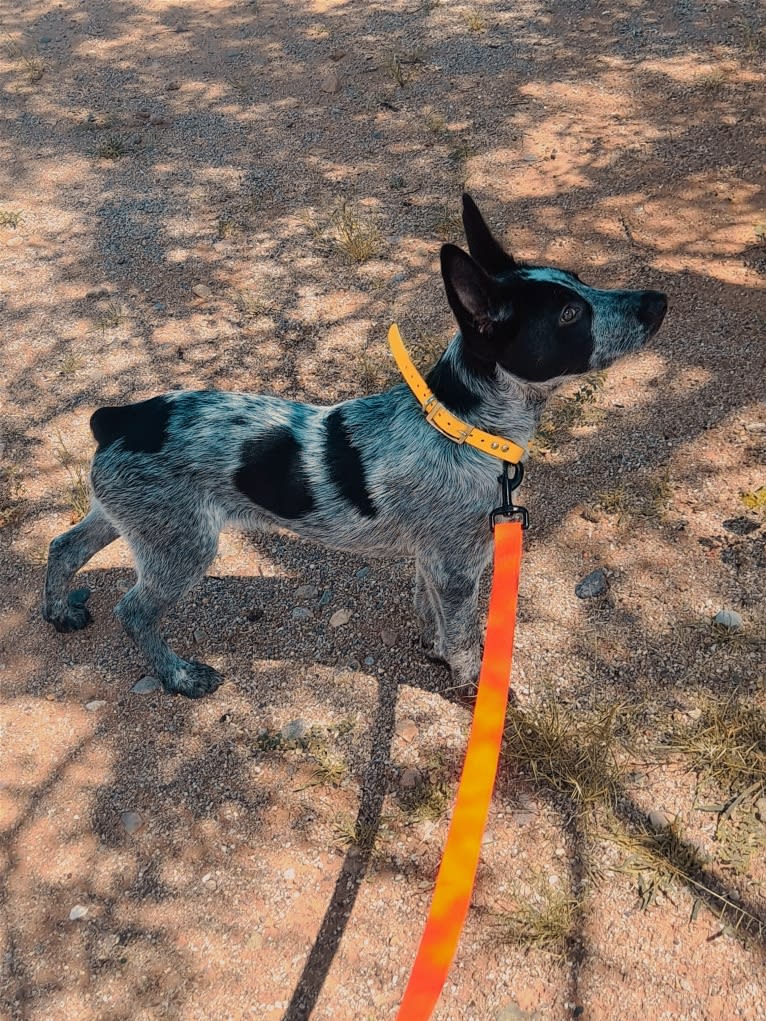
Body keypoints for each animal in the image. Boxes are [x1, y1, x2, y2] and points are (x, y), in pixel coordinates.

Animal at [41, 191, 669, 698]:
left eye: (579, 281)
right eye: (570, 314)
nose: (658, 301)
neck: (461, 424)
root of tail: (117, 418)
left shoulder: (435, 560)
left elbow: (432, 617)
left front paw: (434, 653)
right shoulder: (458, 566)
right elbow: (466, 640)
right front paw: (476, 692)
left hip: (129, 519)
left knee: (62, 546)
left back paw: (57, 611)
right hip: (181, 547)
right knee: (133, 610)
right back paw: (176, 675)